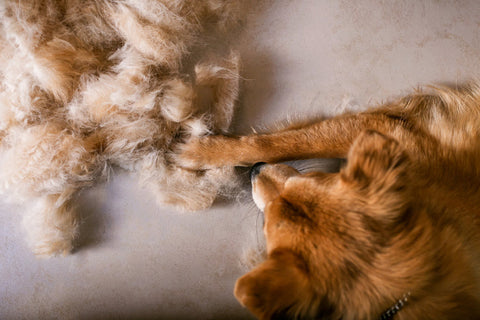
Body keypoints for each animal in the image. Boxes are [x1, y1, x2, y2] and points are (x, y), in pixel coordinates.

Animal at [180, 85, 480, 320]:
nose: (256, 170)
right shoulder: (385, 130)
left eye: (267, 227)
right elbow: (282, 144)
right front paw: (204, 152)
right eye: (315, 175)